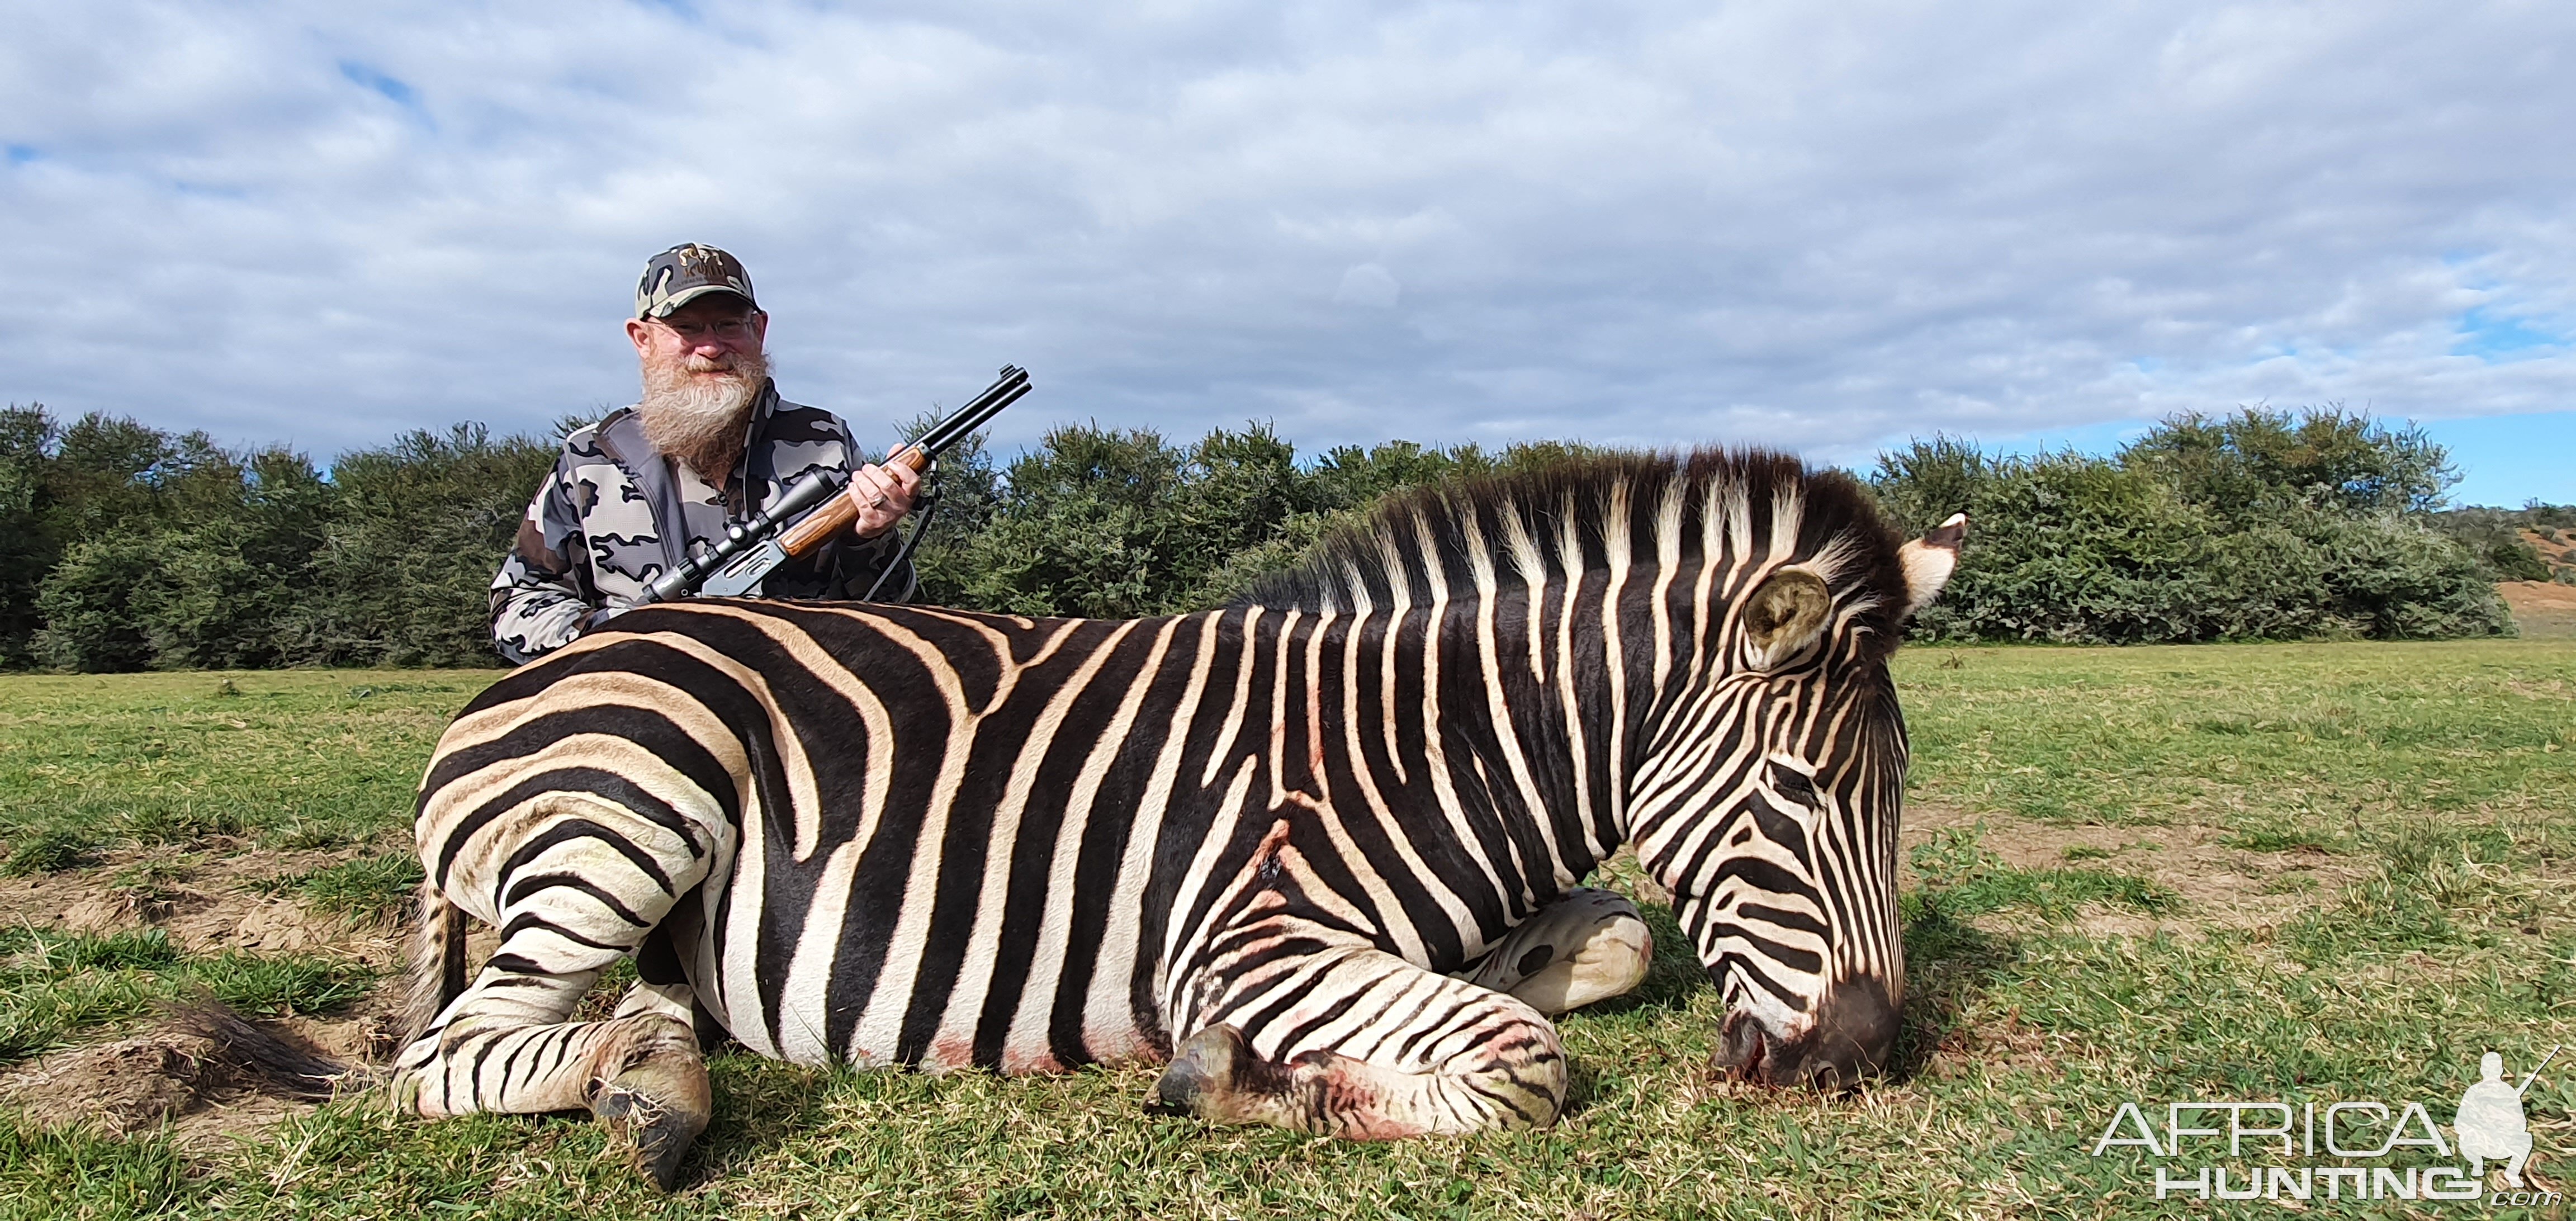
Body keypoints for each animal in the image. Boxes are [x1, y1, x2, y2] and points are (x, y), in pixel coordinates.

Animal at [386, 448, 1947, 1185]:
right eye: (1804, 792)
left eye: (1897, 790)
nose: (1866, 1061)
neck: (1426, 742)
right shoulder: (1244, 942)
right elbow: (1521, 1060)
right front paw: (1262, 1082)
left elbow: (1603, 945)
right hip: (639, 798)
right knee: (442, 1058)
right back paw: (648, 1088)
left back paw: (655, 1043)